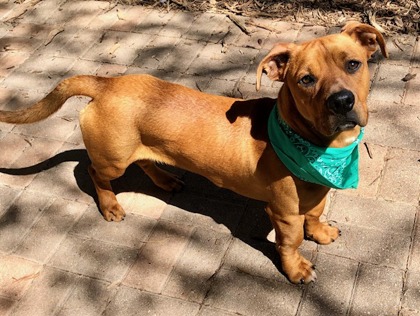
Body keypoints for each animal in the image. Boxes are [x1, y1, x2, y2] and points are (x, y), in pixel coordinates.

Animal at [0, 22, 388, 284]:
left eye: (353, 64)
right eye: (306, 80)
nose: (342, 102)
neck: (320, 149)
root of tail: (105, 83)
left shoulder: (316, 192)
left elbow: (316, 213)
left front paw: (320, 232)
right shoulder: (284, 213)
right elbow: (290, 242)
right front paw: (296, 269)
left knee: (146, 161)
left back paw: (166, 180)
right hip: (114, 160)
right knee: (96, 173)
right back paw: (110, 206)